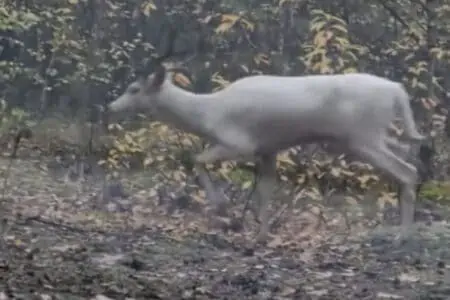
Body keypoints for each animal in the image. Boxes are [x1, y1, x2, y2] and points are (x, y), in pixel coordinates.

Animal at [107, 64, 424, 243]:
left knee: (408, 171)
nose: (112, 105)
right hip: (374, 135)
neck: (207, 115)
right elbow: (265, 192)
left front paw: (222, 207)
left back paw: (402, 236)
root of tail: (397, 90)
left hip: (362, 136)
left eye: (134, 89)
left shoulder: (239, 143)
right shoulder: (268, 150)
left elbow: (196, 160)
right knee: (410, 153)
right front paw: (260, 237)